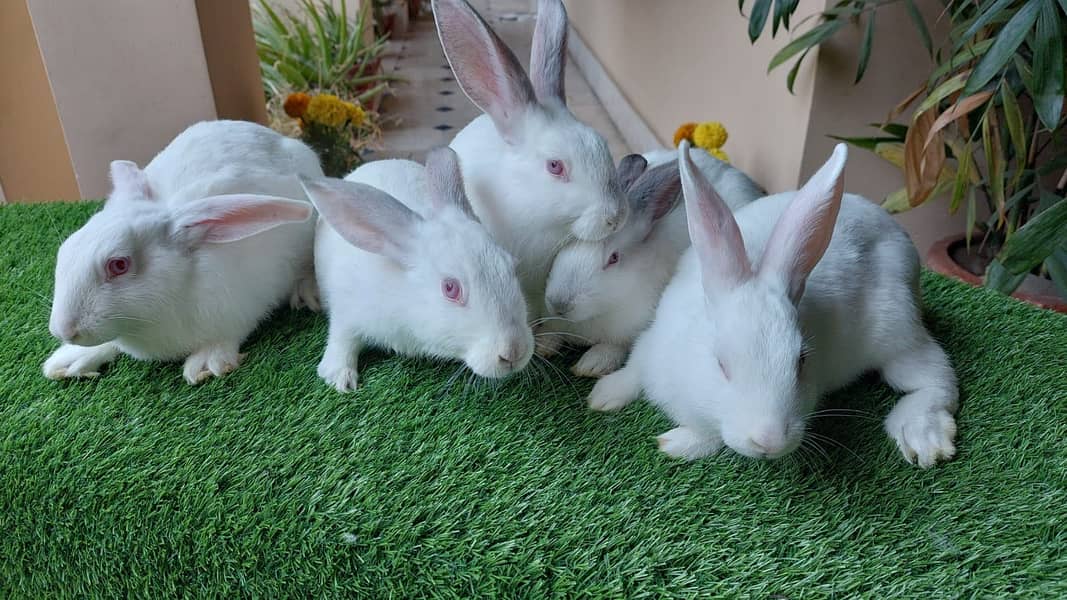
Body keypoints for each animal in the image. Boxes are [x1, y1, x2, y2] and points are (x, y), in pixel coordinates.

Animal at [42, 120, 322, 385]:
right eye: (65, 250)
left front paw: (207, 363)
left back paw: (308, 293)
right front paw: (69, 361)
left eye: (119, 265)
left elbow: (228, 335)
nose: (63, 331)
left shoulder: (245, 306)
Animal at [302, 147, 534, 393]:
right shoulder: (346, 313)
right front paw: (340, 378)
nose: (514, 353)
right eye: (450, 288)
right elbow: (342, 339)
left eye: (512, 267)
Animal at [542, 148, 765, 376]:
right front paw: (544, 344)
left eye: (613, 258)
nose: (558, 304)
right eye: (566, 245)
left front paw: (592, 364)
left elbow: (616, 347)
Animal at [587, 141, 959, 468]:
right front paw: (603, 394)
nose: (770, 441)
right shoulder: (652, 343)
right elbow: (633, 369)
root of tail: (897, 232)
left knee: (937, 380)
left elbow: (711, 436)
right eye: (721, 365)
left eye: (801, 362)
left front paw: (677, 443)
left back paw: (923, 438)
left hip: (897, 331)